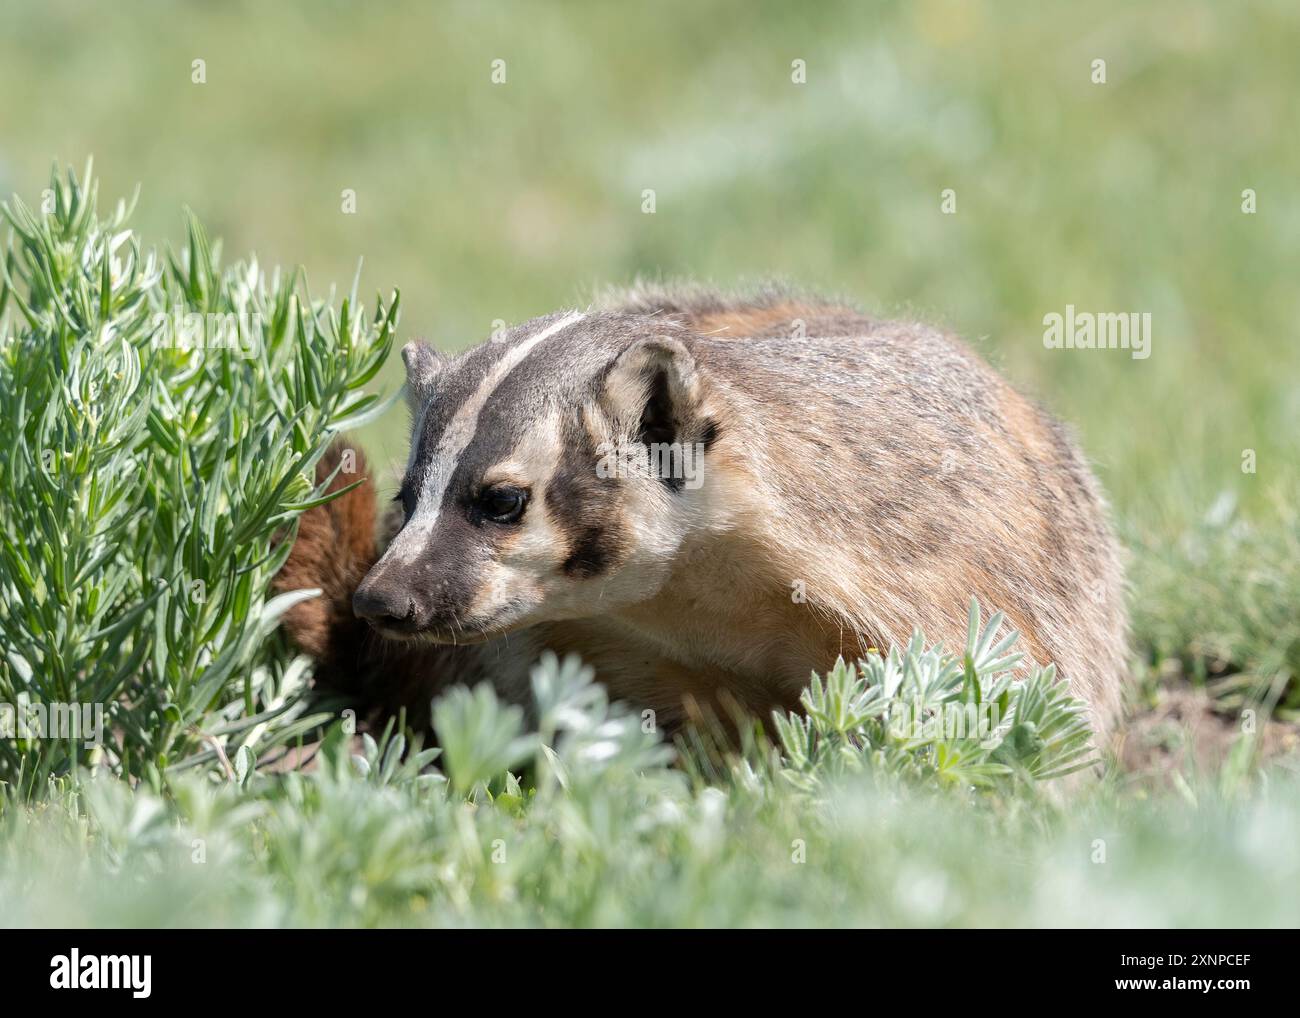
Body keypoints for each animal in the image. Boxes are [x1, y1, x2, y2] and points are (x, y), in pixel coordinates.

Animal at [277, 284, 1127, 738]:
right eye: (407, 494)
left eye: (501, 500)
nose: (384, 596)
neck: (701, 597)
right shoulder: (599, 645)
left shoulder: (933, 587)